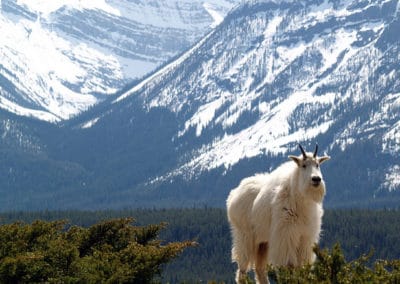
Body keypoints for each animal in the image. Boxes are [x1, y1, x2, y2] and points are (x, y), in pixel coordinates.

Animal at [227, 145, 330, 282]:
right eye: (303, 165)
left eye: (317, 164)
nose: (316, 179)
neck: (301, 200)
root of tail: (233, 195)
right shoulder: (285, 234)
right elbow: (289, 266)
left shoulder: (305, 237)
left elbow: (302, 265)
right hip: (244, 235)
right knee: (242, 268)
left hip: (263, 242)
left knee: (259, 269)